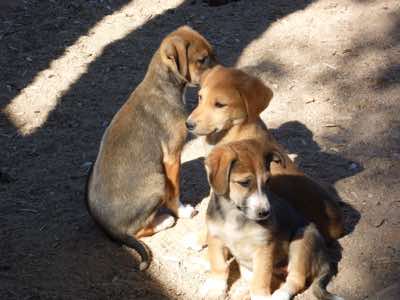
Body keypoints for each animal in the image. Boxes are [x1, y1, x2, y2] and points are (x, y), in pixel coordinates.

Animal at [85, 25, 216, 270]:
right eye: (202, 60)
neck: (162, 87)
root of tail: (110, 229)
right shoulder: (172, 156)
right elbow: (175, 192)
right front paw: (182, 211)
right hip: (158, 182)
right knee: (137, 230)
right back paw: (164, 221)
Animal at [186, 66, 346, 244]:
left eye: (220, 104)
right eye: (200, 97)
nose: (188, 124)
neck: (235, 131)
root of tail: (339, 226)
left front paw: (202, 237)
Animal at [202, 140, 342, 300]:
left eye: (267, 181)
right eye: (244, 183)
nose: (265, 213)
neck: (234, 213)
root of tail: (325, 259)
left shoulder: (264, 247)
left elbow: (260, 279)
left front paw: (260, 296)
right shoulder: (215, 238)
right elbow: (219, 266)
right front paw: (216, 288)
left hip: (303, 238)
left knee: (296, 280)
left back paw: (278, 295)